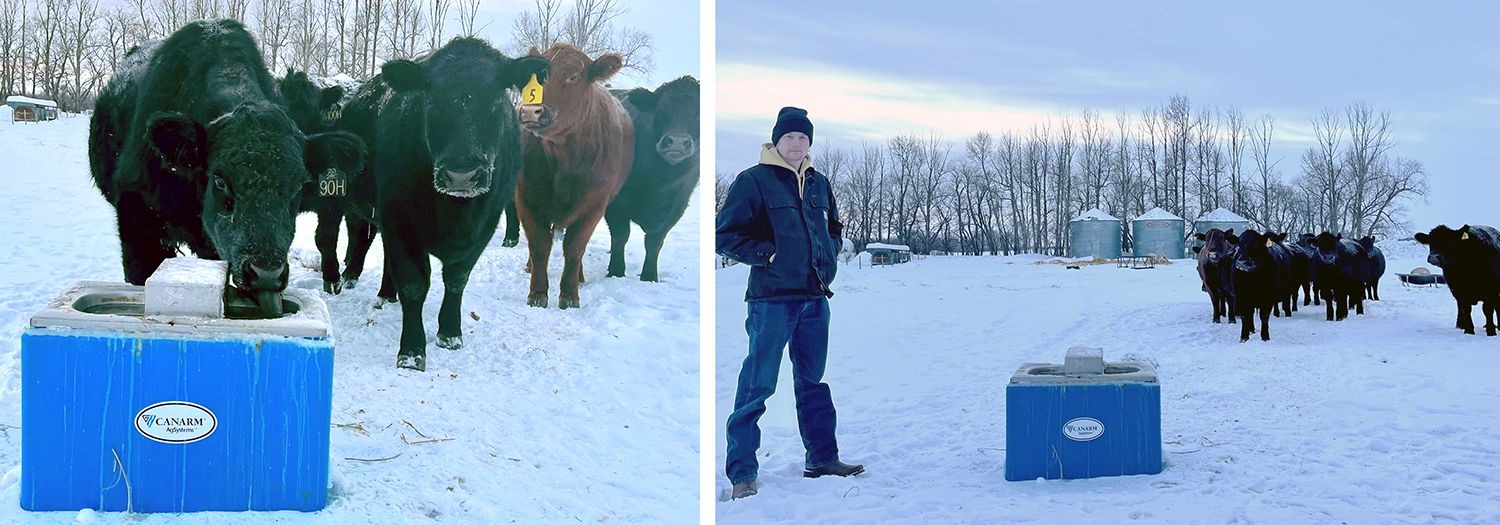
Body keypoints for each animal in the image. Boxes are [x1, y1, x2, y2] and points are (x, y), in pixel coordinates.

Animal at [357, 37, 552, 369]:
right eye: (431, 99)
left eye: (496, 99)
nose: (462, 175)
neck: (455, 213)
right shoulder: (399, 219)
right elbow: (414, 284)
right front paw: (412, 351)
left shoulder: (486, 224)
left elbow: (457, 279)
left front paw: (450, 333)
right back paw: (386, 294)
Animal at [516, 44, 633, 312]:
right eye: (535, 77)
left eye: (573, 77)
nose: (530, 111)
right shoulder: (526, 198)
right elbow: (539, 246)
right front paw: (538, 293)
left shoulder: (594, 206)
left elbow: (575, 248)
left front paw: (569, 295)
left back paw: (579, 276)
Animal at [606, 75, 699, 280]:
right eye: (660, 111)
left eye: (698, 115)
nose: (677, 142)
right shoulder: (614, 203)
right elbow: (620, 236)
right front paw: (616, 271)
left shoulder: (677, 206)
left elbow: (655, 242)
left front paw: (649, 276)